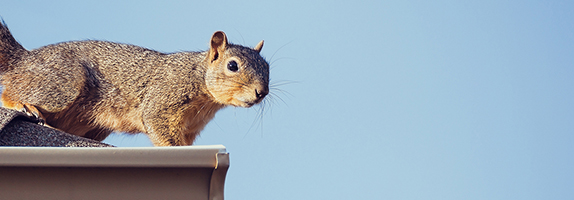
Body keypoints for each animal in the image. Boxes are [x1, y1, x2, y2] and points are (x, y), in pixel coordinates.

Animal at [0, 21, 270, 146]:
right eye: (232, 66)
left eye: (268, 68)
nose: (262, 92)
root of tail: (23, 59)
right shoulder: (164, 98)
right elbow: (159, 125)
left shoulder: (190, 129)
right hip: (63, 84)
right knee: (10, 93)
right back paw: (24, 106)